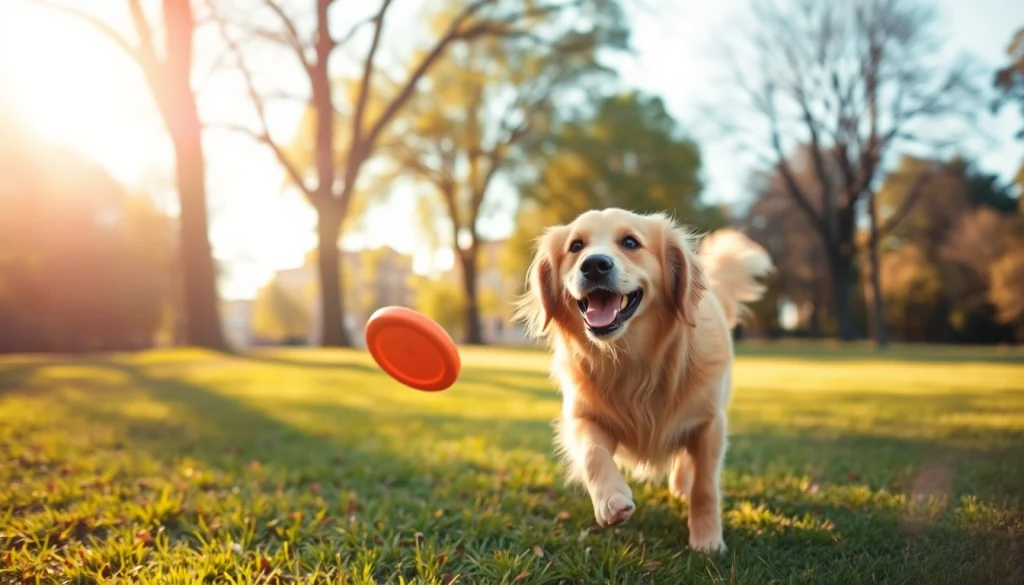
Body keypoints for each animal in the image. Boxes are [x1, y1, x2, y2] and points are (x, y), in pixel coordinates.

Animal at [516, 209, 770, 553]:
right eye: (576, 246)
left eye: (630, 242)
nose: (593, 264)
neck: (634, 362)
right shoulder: (583, 416)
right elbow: (594, 454)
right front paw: (611, 500)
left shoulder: (709, 422)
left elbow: (705, 486)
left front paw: (707, 539)